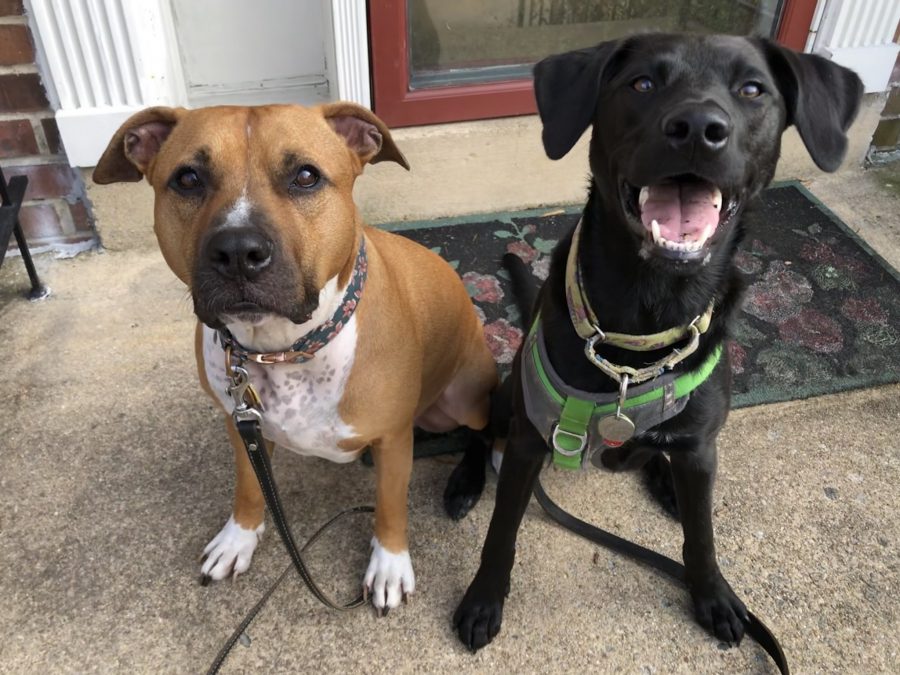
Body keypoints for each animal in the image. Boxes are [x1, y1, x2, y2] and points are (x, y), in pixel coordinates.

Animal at [95, 104, 496, 612]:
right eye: (188, 179)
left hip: (465, 394)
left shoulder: (391, 440)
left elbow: (390, 505)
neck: (281, 351)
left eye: (306, 176)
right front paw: (239, 538)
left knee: (484, 431)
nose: (238, 251)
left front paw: (389, 564)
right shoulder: (237, 422)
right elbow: (249, 485)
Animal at [454, 34, 860, 652]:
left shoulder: (699, 447)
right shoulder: (527, 439)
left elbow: (702, 533)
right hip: (505, 398)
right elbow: (502, 530)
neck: (649, 310)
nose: (696, 128)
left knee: (657, 456)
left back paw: (664, 481)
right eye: (642, 83)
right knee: (477, 434)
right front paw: (483, 599)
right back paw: (462, 483)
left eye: (752, 89)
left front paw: (713, 594)